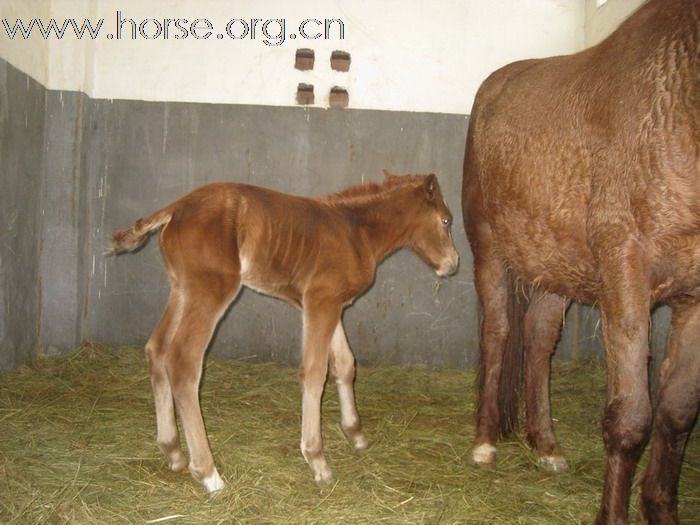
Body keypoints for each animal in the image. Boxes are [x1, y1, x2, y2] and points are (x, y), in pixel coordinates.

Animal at [110, 171, 460, 492]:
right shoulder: (321, 301)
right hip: (211, 291)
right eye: (446, 220)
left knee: (156, 349)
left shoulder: (329, 305)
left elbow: (344, 364)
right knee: (183, 361)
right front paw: (317, 460)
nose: (453, 263)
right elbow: (315, 373)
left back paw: (173, 451)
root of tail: (175, 208)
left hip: (181, 290)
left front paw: (356, 433)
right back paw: (208, 474)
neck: (356, 231)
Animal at [462, 0, 696, 520]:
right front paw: (612, 516)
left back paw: (545, 444)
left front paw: (659, 508)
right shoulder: (626, 280)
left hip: (555, 273)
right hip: (488, 250)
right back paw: (485, 443)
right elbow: (630, 419)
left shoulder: (695, 300)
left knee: (538, 341)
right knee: (497, 333)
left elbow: (677, 411)